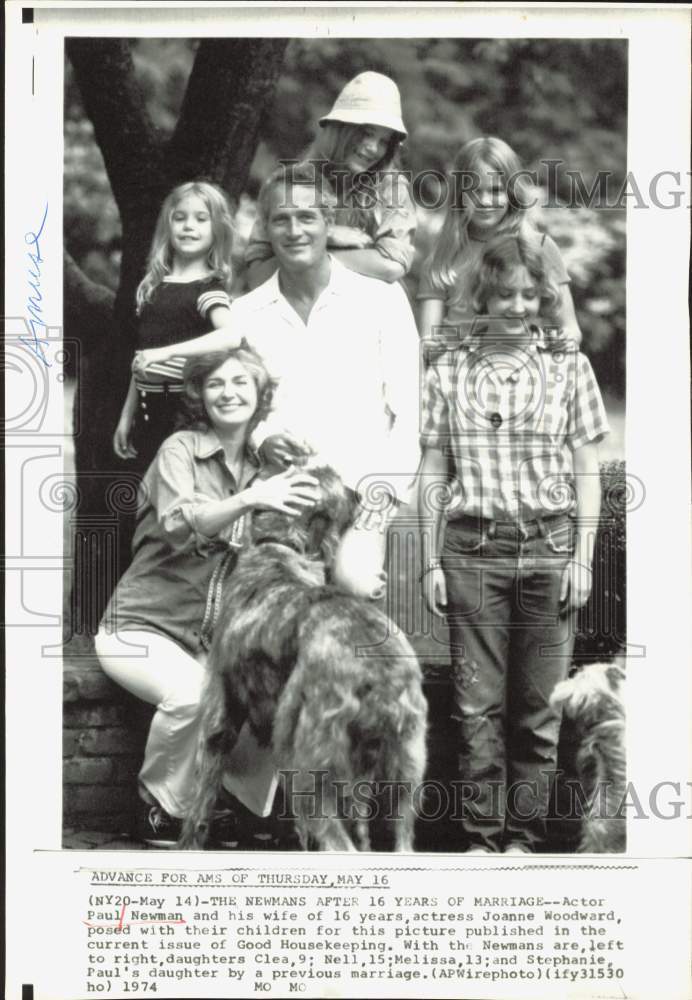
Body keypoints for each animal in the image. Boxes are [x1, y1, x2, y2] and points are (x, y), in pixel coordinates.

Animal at [180, 462, 428, 852]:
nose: (366, 495)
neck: (279, 548)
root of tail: (378, 670)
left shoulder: (219, 715)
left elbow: (200, 803)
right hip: (401, 773)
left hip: (307, 763)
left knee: (338, 842)